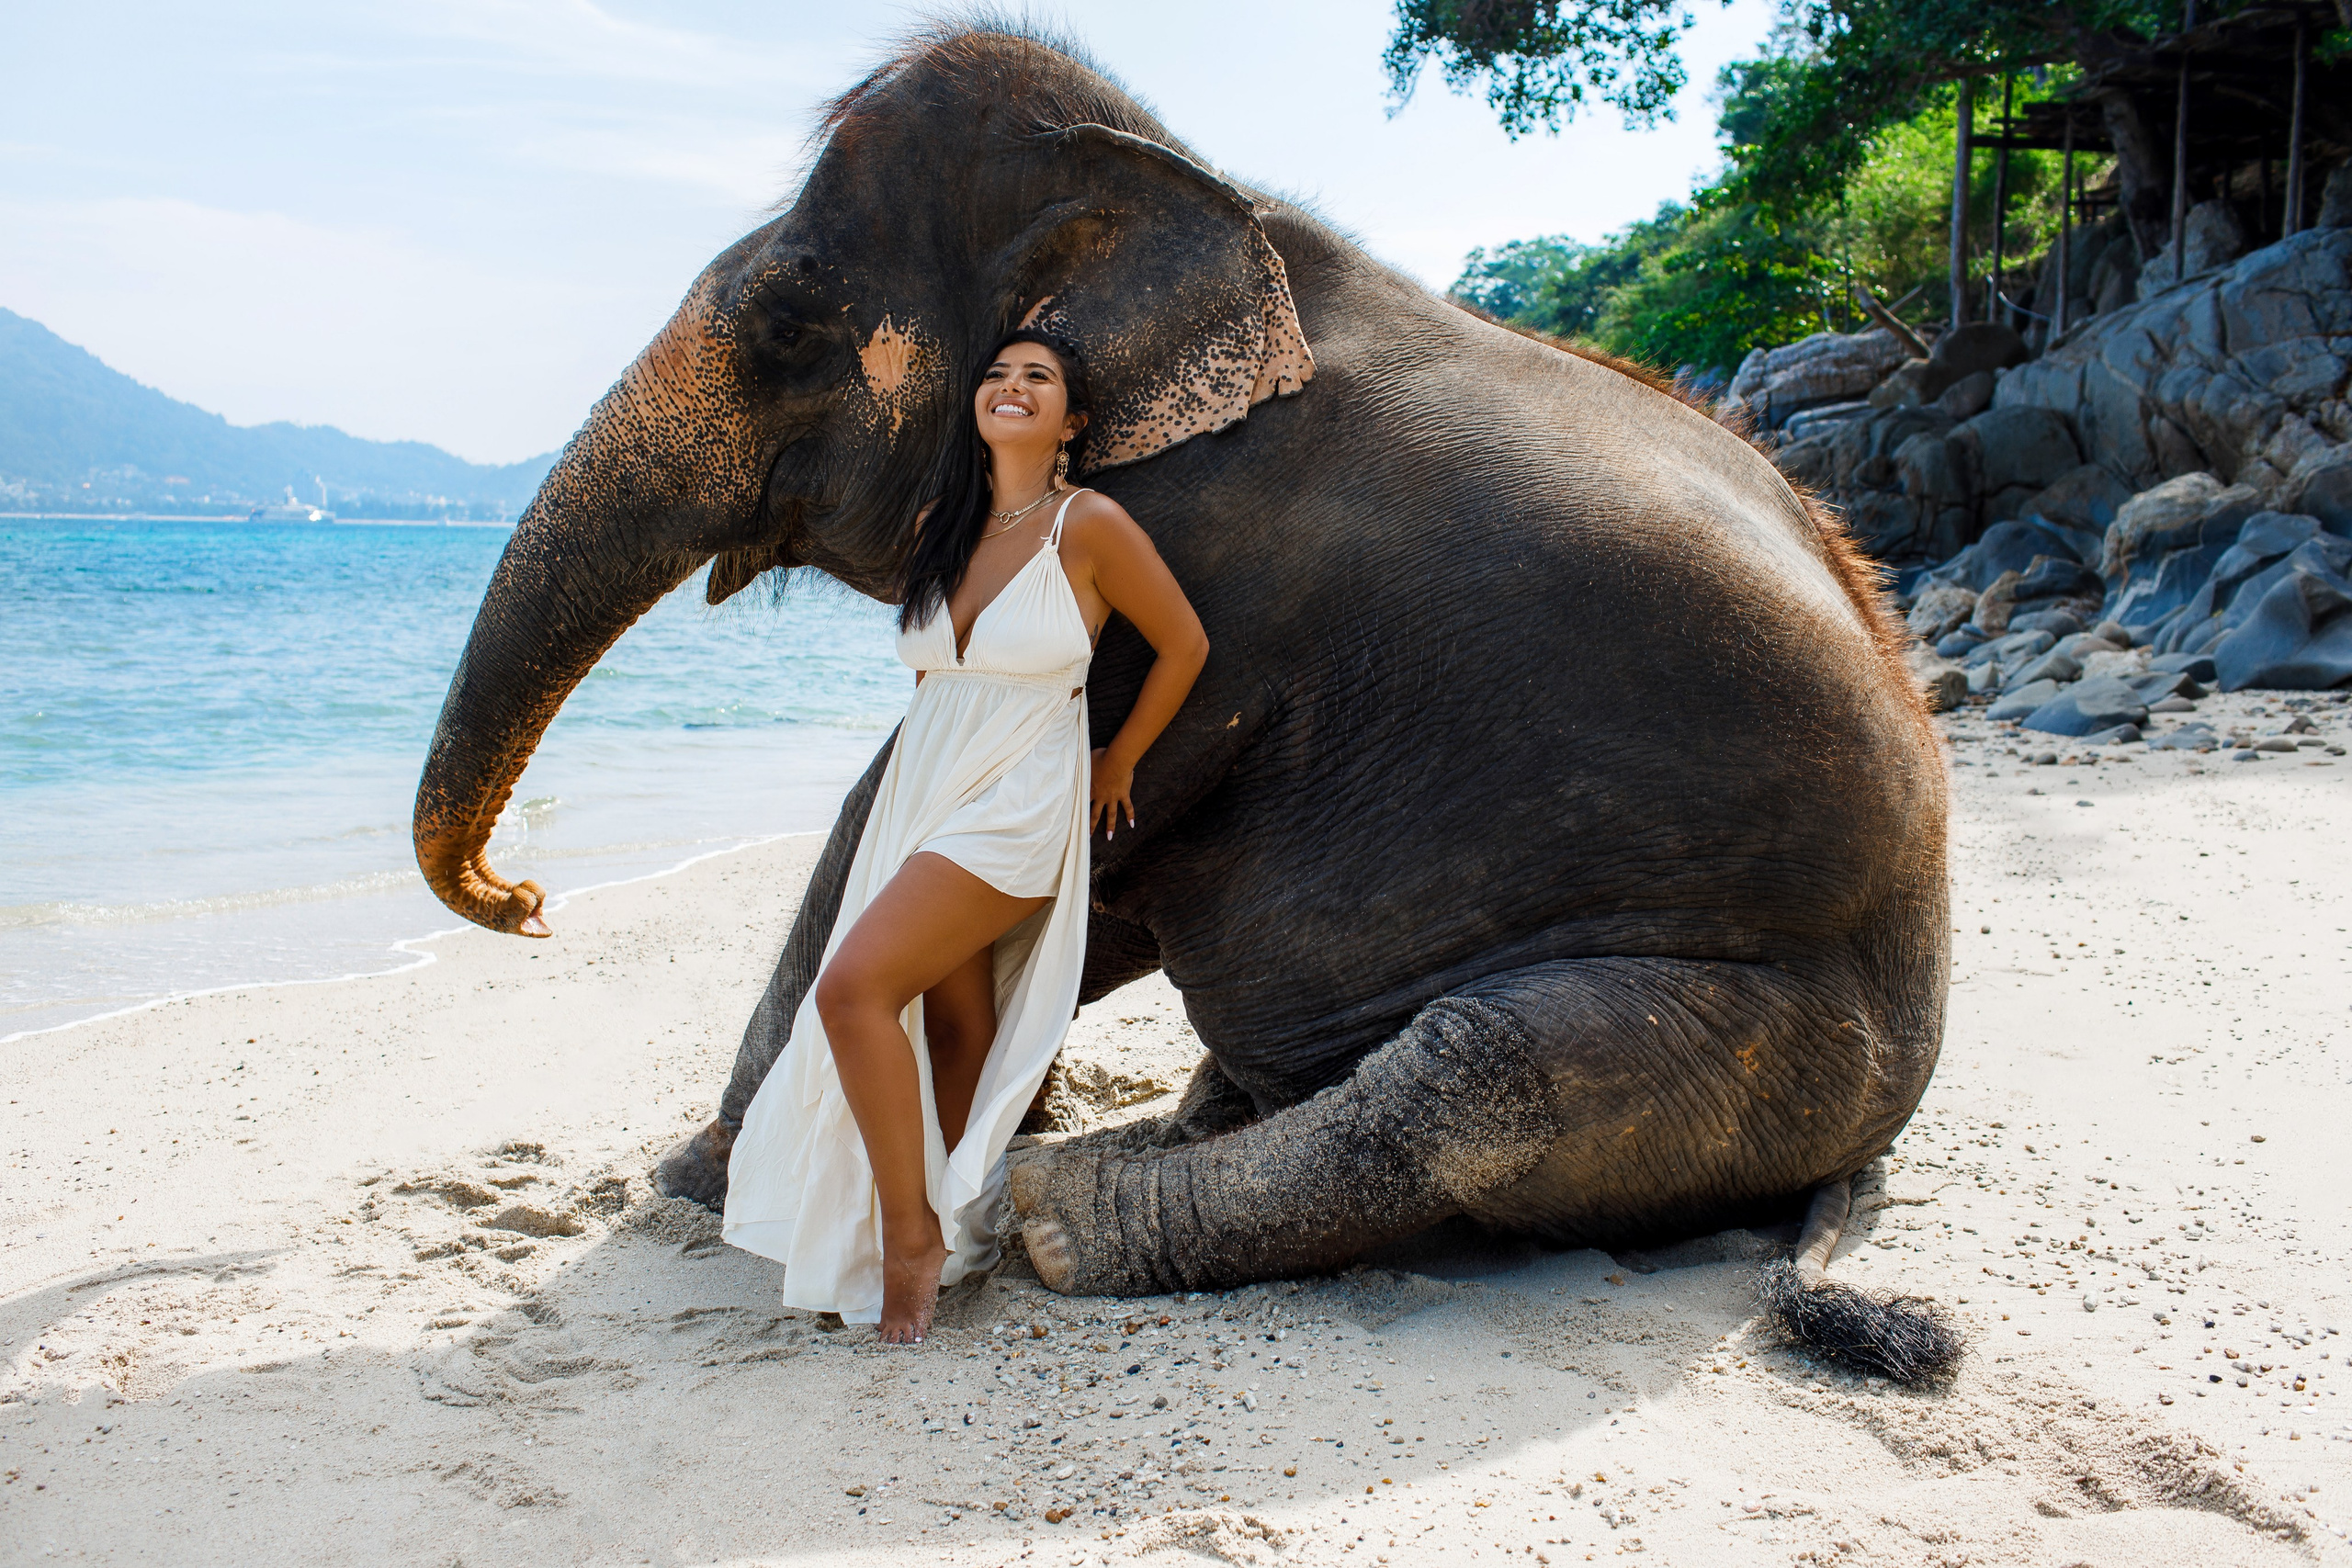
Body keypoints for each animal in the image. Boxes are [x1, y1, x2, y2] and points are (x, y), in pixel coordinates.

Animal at [415, 24, 1959, 1380]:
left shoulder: (1211, 575)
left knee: (1479, 1079)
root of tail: (1870, 1144)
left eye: (790, 319)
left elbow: (936, 823)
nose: (524, 892)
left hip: (1769, 1028)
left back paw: (1054, 1211)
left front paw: (695, 1184)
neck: (1191, 186)